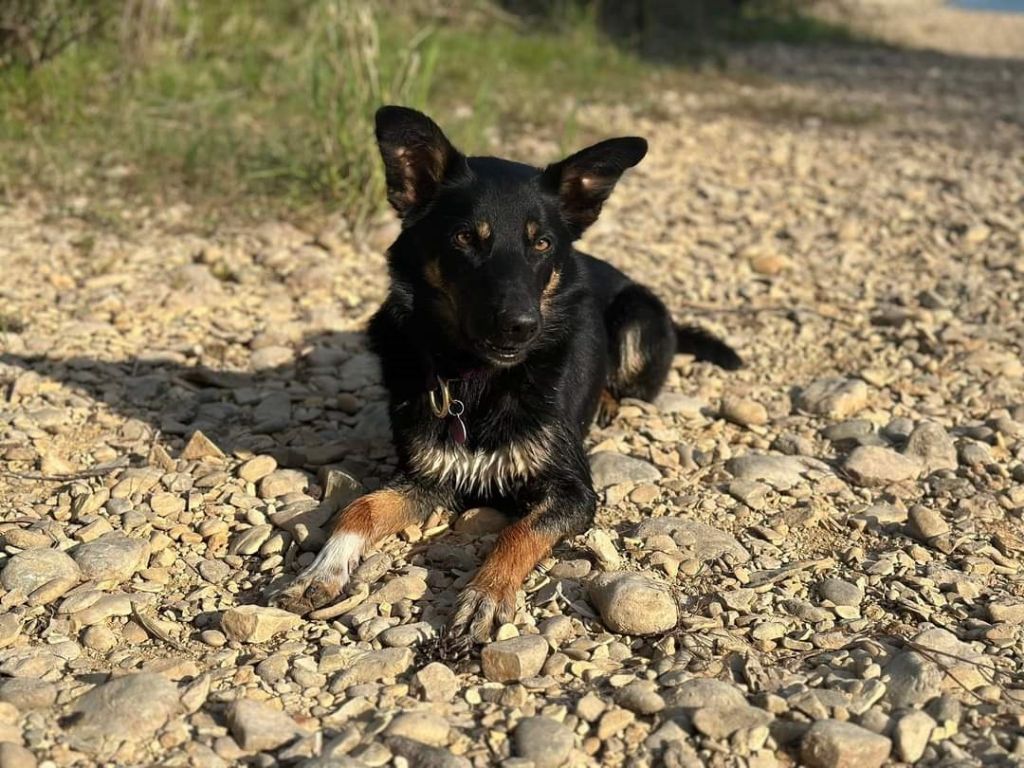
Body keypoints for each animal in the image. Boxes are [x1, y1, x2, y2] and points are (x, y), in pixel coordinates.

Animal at [276, 105, 741, 638]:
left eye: (540, 244)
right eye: (464, 238)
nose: (521, 326)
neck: (477, 379)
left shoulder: (572, 491)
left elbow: (519, 532)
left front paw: (487, 592)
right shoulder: (428, 478)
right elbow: (361, 507)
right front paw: (322, 570)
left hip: (637, 315)